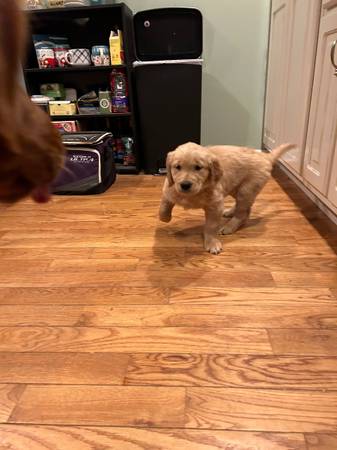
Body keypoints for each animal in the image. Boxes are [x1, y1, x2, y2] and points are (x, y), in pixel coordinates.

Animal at [159, 142, 292, 253]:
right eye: (177, 167)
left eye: (198, 167)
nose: (185, 185)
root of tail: (265, 157)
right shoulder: (168, 188)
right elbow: (164, 206)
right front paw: (165, 218)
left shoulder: (215, 205)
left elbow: (211, 226)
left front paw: (212, 243)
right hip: (235, 188)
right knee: (244, 208)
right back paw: (229, 212)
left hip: (246, 190)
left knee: (243, 213)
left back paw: (229, 227)